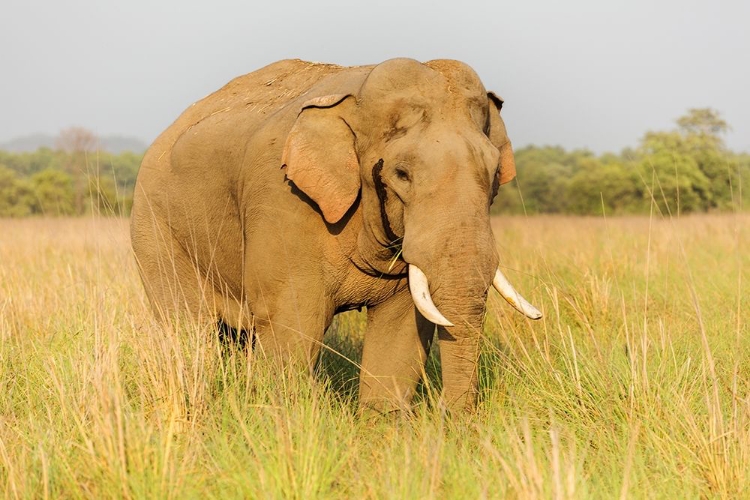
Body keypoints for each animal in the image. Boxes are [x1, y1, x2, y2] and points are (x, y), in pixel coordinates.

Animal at [129, 56, 540, 412]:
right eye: (402, 173)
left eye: (494, 173)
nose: (447, 418)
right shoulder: (283, 199)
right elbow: (296, 320)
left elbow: (400, 330)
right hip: (154, 226)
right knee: (188, 327)